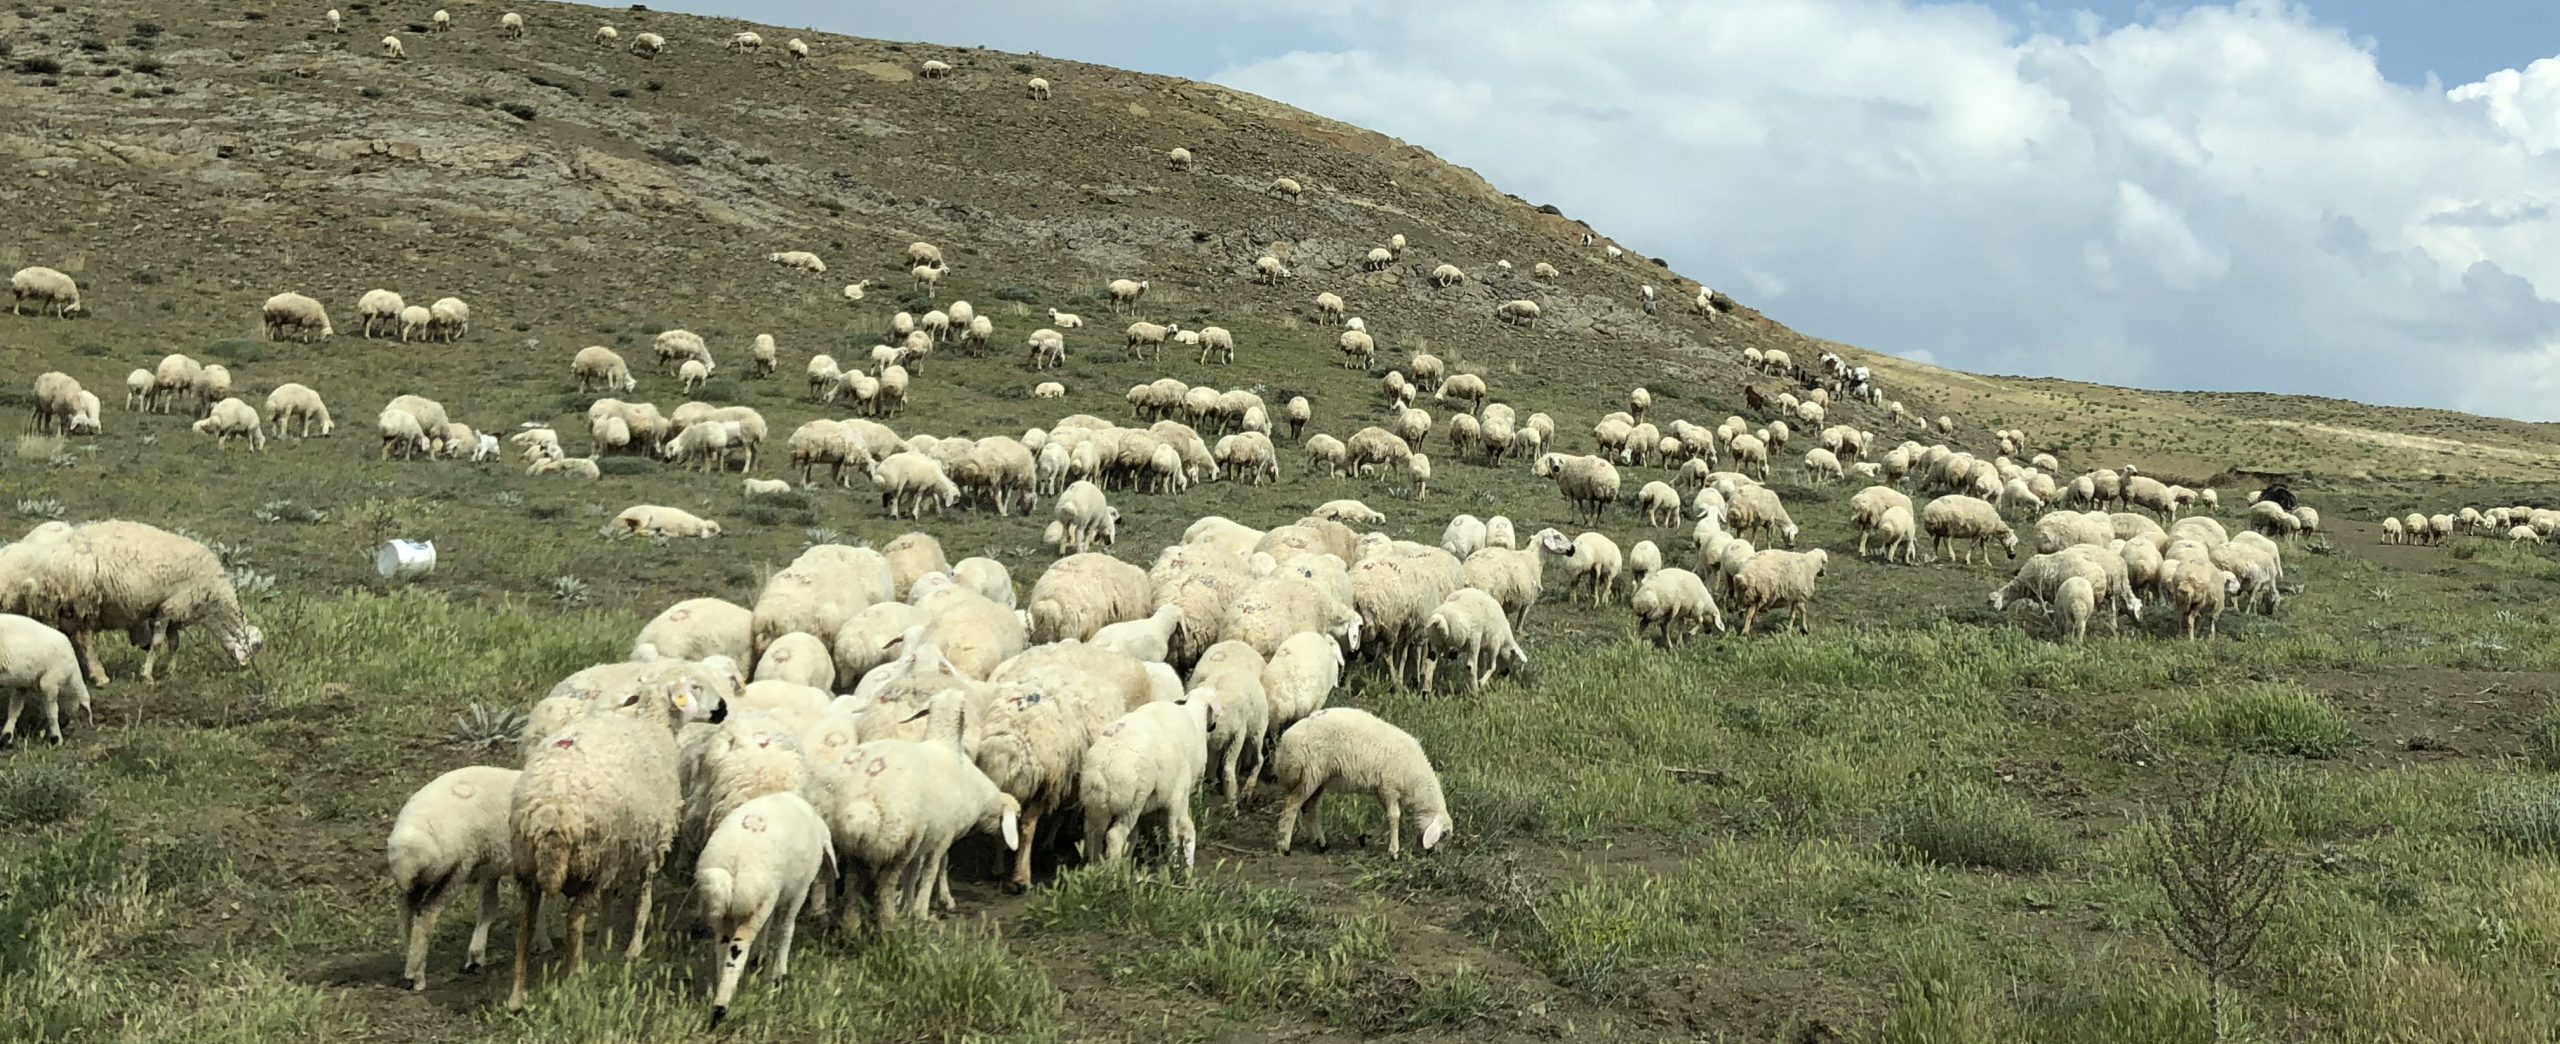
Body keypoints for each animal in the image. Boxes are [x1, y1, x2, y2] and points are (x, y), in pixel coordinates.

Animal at [386, 762, 522, 992]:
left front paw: (476, 957)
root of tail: (407, 845)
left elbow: (489, 907)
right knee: (427, 914)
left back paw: (410, 964)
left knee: (406, 913)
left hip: (418, 881)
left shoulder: (492, 869)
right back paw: (417, 977)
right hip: (455, 868)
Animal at [691, 793, 829, 1028]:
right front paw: (779, 976)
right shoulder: (798, 892)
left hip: (723, 909)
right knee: (737, 950)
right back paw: (720, 1008)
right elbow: (786, 930)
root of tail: (734, 862)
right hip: (755, 907)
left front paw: (759, 960)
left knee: (723, 945)